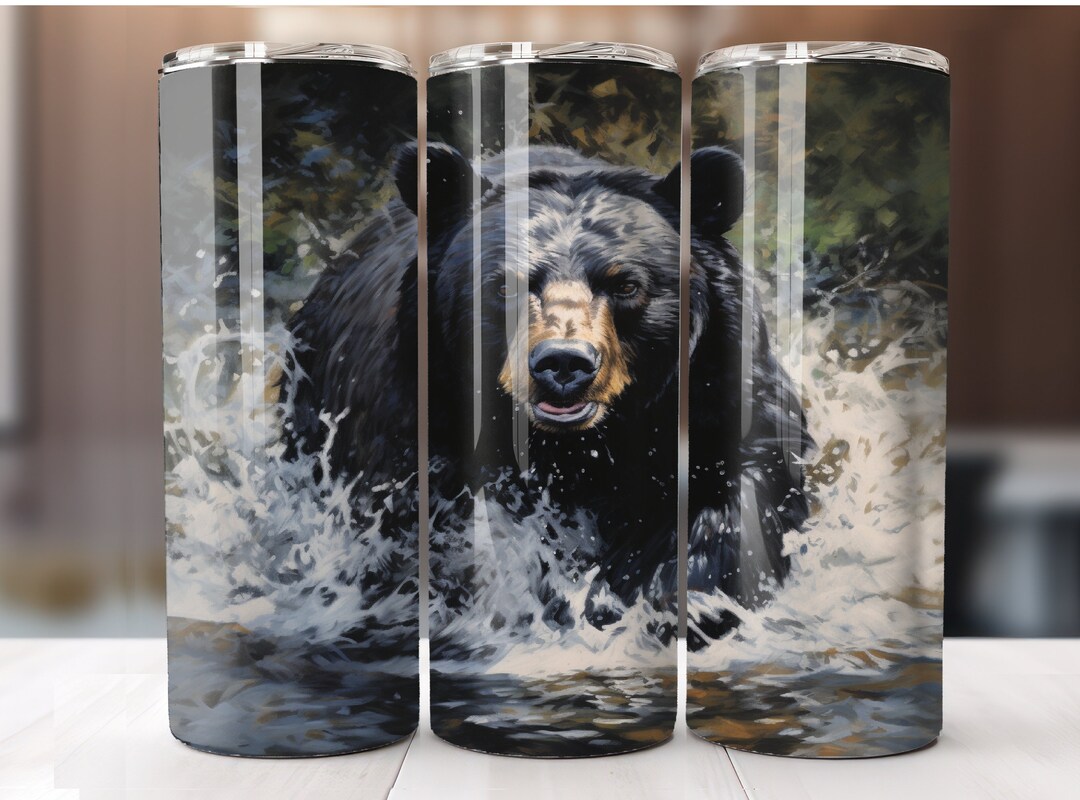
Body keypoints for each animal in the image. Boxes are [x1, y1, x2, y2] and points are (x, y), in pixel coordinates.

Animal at [282, 141, 811, 651]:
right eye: (505, 285)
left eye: (626, 283)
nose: (563, 363)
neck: (581, 447)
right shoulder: (418, 415)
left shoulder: (714, 390)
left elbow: (735, 495)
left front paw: (676, 605)